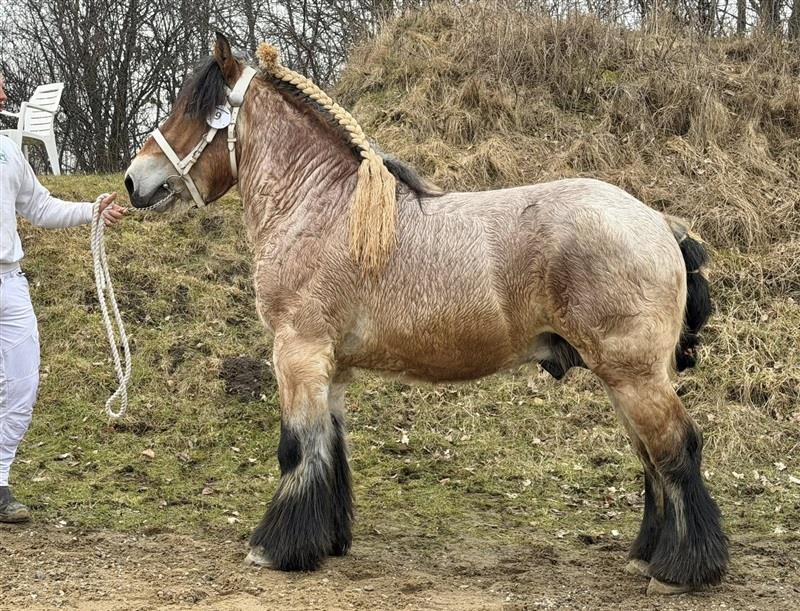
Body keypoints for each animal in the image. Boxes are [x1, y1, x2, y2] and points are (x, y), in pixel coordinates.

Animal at [124, 33, 727, 594]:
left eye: (196, 111)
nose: (135, 179)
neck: (323, 208)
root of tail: (660, 223)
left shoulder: (297, 352)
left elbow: (298, 448)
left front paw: (276, 548)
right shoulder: (330, 367)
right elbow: (331, 450)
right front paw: (329, 540)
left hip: (633, 375)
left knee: (676, 449)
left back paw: (682, 569)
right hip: (624, 377)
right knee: (650, 458)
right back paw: (648, 555)